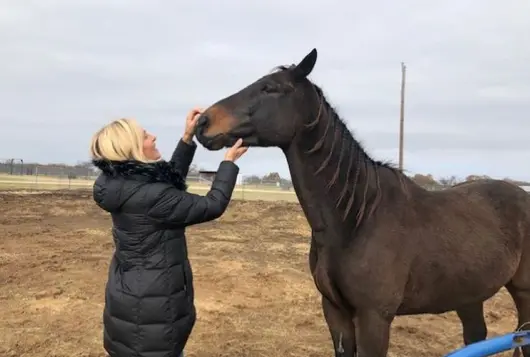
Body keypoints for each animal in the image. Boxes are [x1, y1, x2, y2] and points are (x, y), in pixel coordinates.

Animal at [193, 48, 528, 356]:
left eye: (270, 88)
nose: (203, 122)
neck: (356, 218)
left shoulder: (374, 318)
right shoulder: (336, 312)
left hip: (522, 292)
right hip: (469, 295)